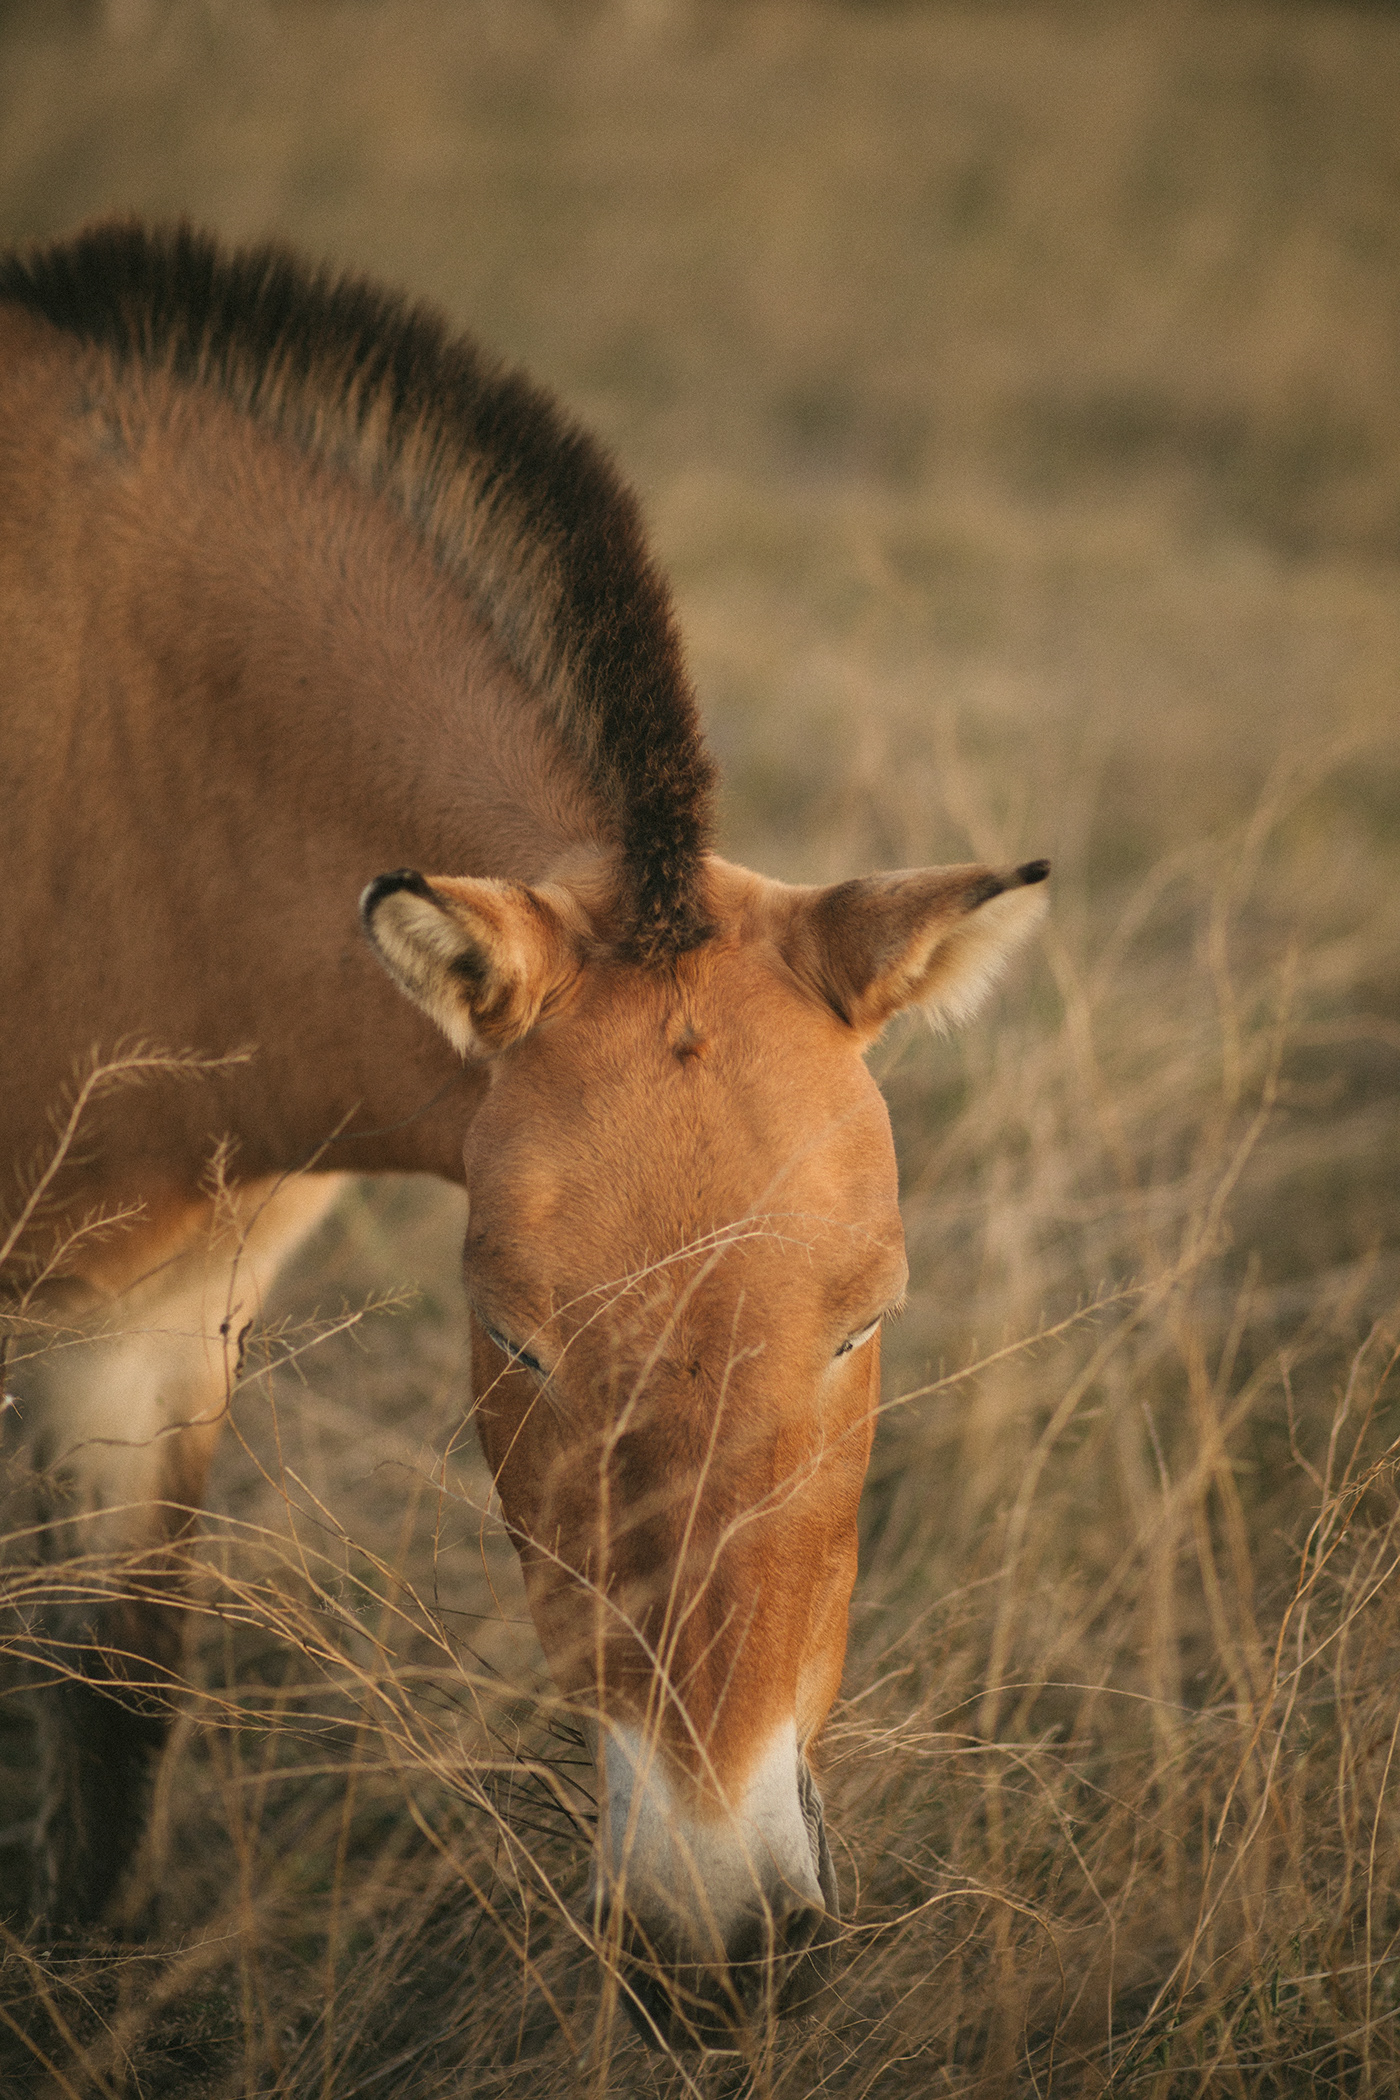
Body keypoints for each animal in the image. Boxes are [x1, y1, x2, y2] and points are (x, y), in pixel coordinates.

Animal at [0, 221, 1049, 2041]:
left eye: (864, 1328)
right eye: (517, 1342)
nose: (723, 1942)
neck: (112, 755)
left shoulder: (141, 1327)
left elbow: (111, 1729)